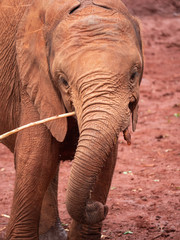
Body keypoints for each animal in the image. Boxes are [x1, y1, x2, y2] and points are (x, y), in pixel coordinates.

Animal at [0, 0, 143, 239]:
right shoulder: (32, 82)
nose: (101, 207)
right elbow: (35, 157)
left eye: (134, 75)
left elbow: (106, 161)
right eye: (63, 81)